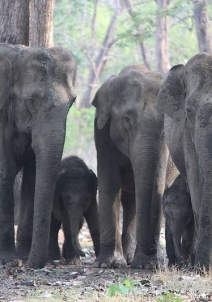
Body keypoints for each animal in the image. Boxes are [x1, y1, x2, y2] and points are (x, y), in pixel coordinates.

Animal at [0, 41, 77, 268]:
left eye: (73, 101)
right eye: (31, 101)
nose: (34, 263)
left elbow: (32, 177)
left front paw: (24, 256)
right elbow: (5, 172)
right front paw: (10, 261)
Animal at [92, 64, 170, 268]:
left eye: (165, 122)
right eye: (126, 119)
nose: (152, 249)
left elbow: (156, 184)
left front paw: (147, 265)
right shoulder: (101, 131)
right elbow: (109, 183)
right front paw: (108, 264)